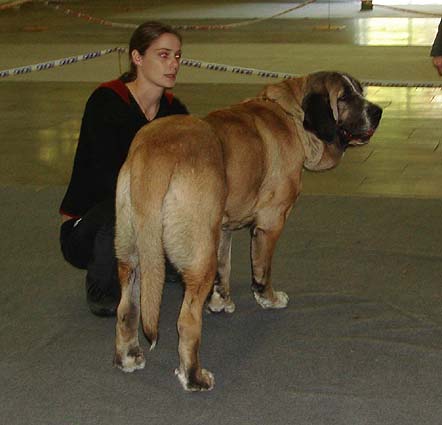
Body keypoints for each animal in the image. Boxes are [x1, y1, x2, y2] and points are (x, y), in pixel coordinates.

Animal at [112, 70, 382, 390]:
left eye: (360, 91)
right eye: (344, 97)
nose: (377, 111)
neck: (291, 114)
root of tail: (155, 153)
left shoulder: (222, 227)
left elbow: (225, 268)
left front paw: (221, 302)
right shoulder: (271, 222)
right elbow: (262, 269)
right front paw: (269, 299)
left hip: (134, 251)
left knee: (126, 308)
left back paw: (128, 357)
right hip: (197, 254)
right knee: (187, 321)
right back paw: (194, 377)